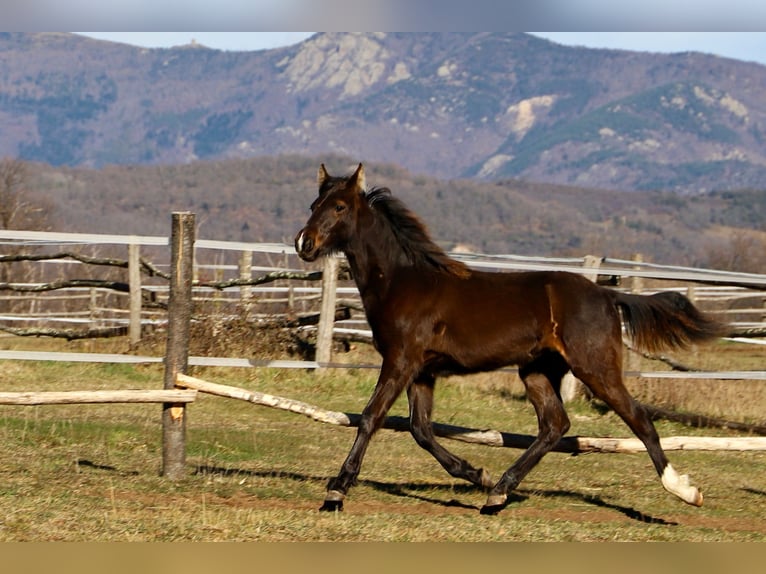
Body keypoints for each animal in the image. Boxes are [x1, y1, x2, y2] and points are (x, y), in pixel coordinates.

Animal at [294, 163, 728, 516]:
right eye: (314, 202)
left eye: (339, 207)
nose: (304, 243)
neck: (404, 281)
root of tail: (607, 295)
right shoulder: (422, 370)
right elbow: (421, 429)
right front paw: (478, 474)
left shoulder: (400, 360)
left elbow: (372, 417)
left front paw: (336, 492)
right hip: (536, 370)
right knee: (555, 424)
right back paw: (498, 492)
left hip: (594, 366)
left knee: (638, 418)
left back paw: (685, 491)